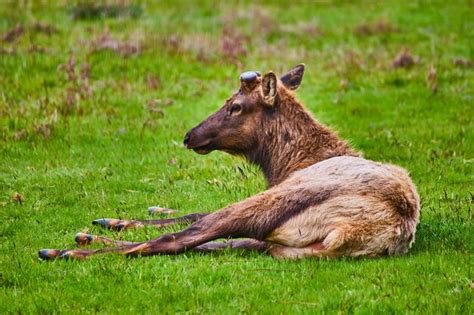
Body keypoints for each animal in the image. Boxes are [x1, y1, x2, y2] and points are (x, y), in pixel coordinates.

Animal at [39, 65, 420, 262]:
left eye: (235, 105)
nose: (189, 136)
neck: (285, 163)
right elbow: (194, 218)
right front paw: (119, 220)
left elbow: (192, 217)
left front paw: (113, 222)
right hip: (283, 244)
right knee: (204, 240)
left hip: (277, 202)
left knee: (180, 238)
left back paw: (64, 251)